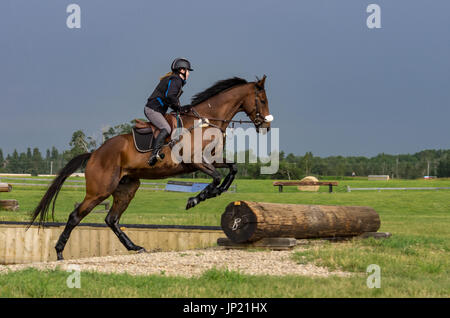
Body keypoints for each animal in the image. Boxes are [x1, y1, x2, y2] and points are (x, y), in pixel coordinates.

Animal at [31, 75, 272, 260]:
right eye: (261, 99)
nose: (266, 126)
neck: (205, 121)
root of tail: (95, 153)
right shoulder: (195, 161)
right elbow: (215, 177)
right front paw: (195, 199)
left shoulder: (212, 159)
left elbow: (232, 170)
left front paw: (213, 193)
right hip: (100, 190)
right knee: (76, 216)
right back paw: (59, 252)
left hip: (127, 187)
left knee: (112, 219)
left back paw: (135, 247)